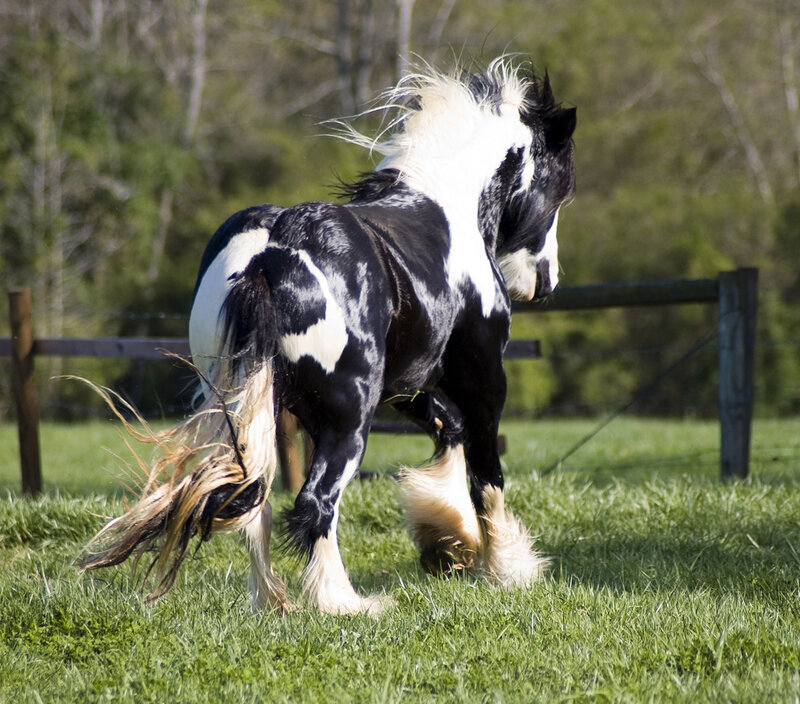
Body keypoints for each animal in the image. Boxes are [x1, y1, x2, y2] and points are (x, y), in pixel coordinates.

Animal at [80, 58, 576, 615]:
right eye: (562, 187)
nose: (546, 280)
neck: (447, 210)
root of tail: (270, 251)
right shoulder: (482, 377)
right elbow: (486, 473)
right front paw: (505, 568)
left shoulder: (403, 385)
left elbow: (447, 429)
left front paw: (447, 543)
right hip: (348, 417)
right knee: (315, 503)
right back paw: (345, 604)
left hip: (250, 405)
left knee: (254, 502)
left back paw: (273, 602)